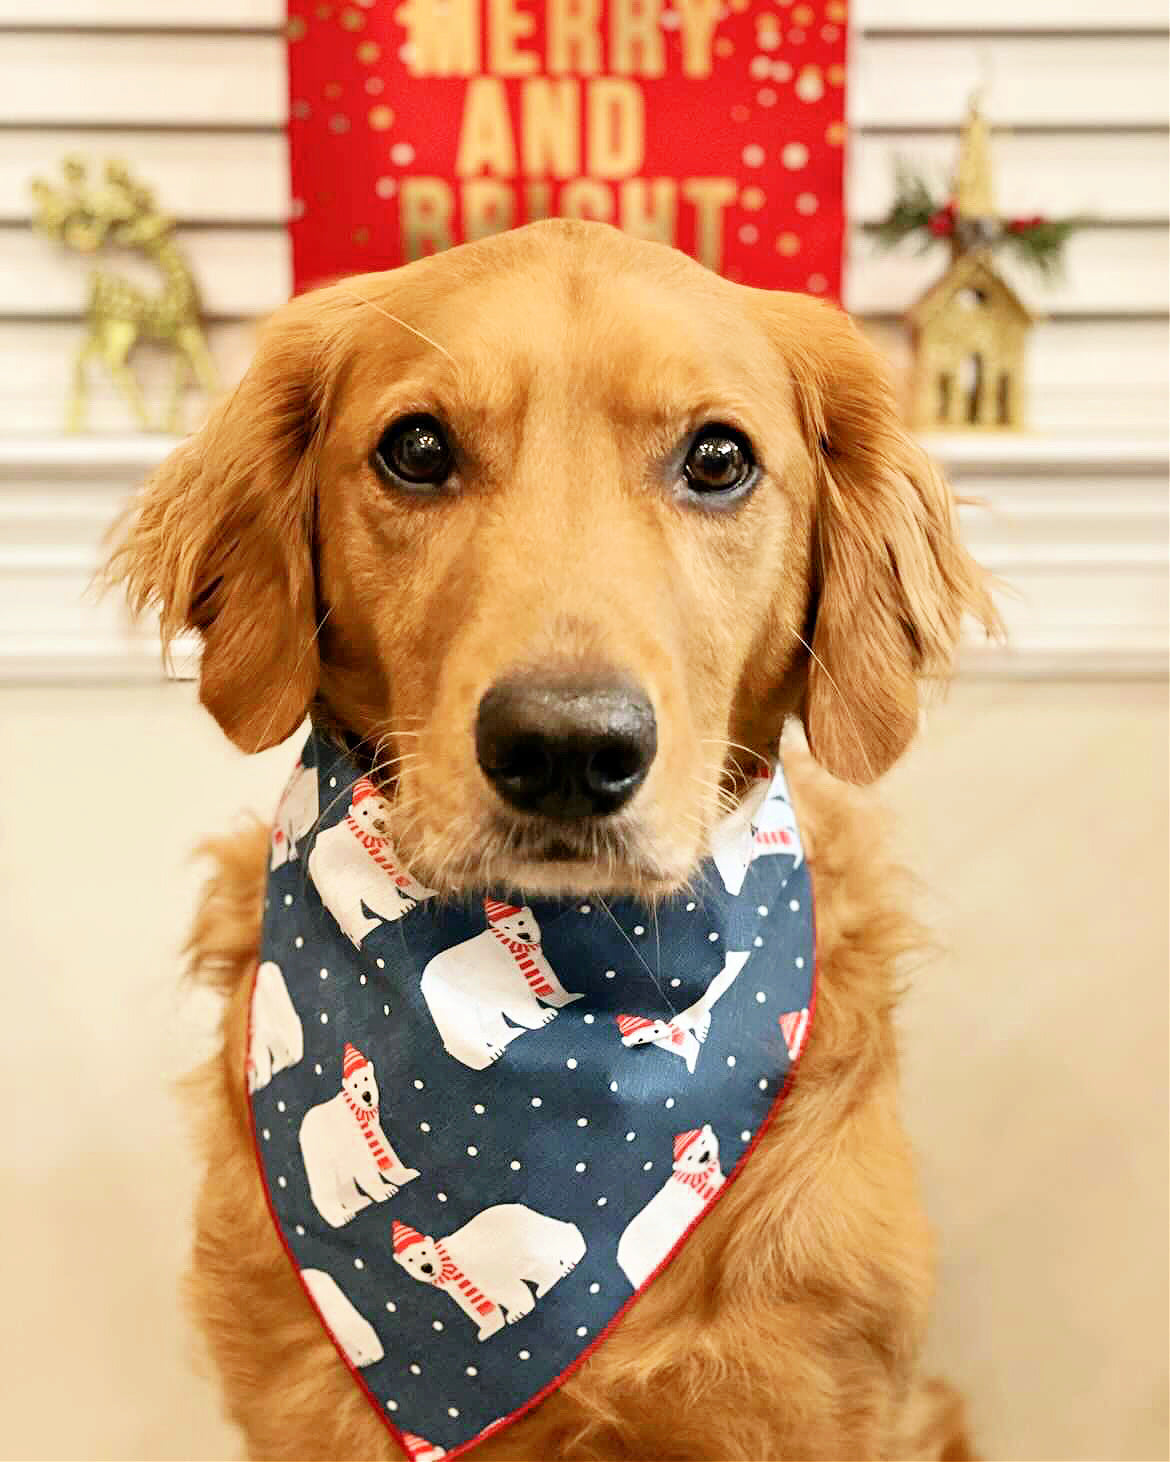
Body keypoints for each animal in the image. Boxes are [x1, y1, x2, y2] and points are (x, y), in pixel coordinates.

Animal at [298, 1042, 420, 1229]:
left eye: (366, 1078)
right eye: (355, 1085)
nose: (366, 1095)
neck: (357, 1111)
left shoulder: (374, 1126)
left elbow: (386, 1149)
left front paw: (407, 1174)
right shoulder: (352, 1135)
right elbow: (365, 1165)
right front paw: (386, 1190)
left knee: (344, 1182)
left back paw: (360, 1202)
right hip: (320, 1153)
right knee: (326, 1185)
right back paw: (342, 1216)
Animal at [391, 1204, 587, 1341]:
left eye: (424, 1252)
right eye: (410, 1260)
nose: (426, 1267)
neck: (447, 1264)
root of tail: (519, 1207)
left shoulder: (477, 1267)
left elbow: (504, 1288)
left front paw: (517, 1313)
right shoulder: (454, 1288)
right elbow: (475, 1306)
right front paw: (489, 1329)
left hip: (522, 1235)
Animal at [419, 899, 583, 1070]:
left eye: (521, 922)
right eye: (506, 928)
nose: (523, 935)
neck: (511, 946)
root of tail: (424, 983)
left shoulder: (536, 958)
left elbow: (548, 977)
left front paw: (571, 997)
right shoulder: (503, 971)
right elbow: (518, 998)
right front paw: (544, 1016)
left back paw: (511, 1034)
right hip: (455, 995)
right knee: (465, 1025)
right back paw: (488, 1055)